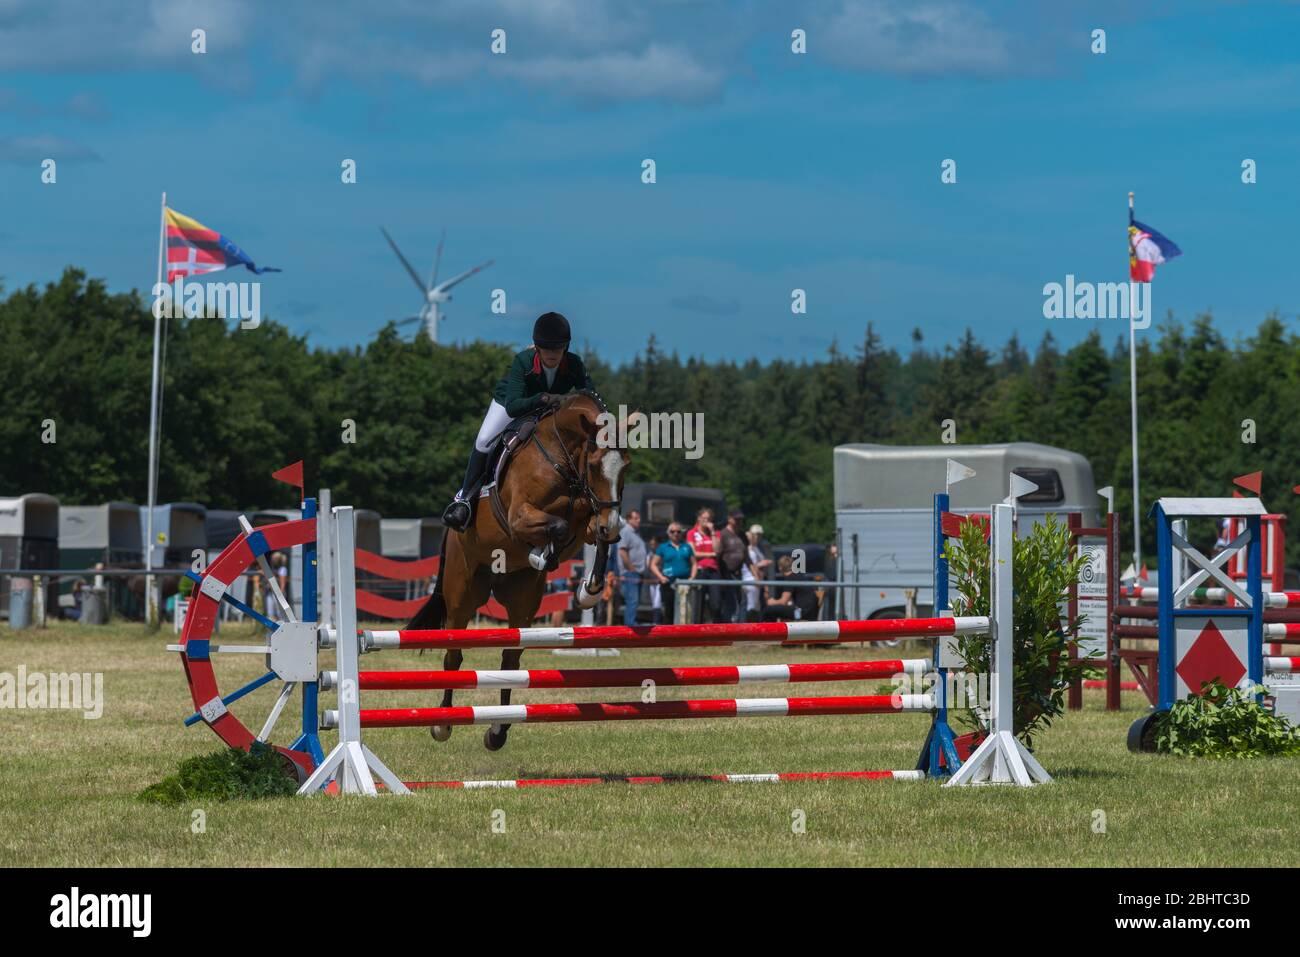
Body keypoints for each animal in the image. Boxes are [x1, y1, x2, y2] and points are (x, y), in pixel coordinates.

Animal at [405, 390, 629, 748]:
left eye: (626, 468)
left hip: (522, 602)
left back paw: (498, 730)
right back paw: (443, 724)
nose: (612, 524)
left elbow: (589, 531)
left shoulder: (590, 516)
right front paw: (542, 554)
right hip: (461, 594)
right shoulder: (519, 515)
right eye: (594, 465)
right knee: (454, 655)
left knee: (511, 660)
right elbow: (557, 526)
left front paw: (588, 591)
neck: (563, 458)